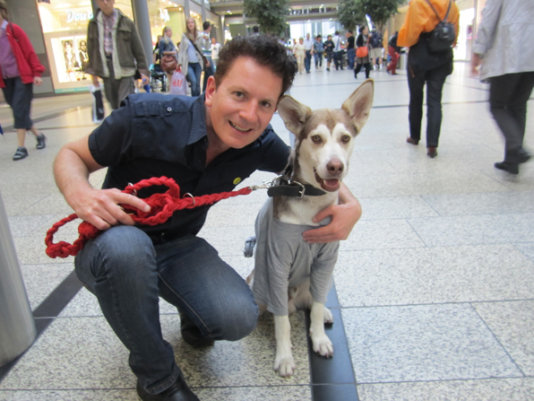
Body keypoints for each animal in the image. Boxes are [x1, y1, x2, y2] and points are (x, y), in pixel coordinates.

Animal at [249, 79, 374, 376]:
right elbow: (282, 321)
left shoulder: (326, 260)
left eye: (345, 138)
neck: (311, 200)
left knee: (314, 298)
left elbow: (316, 307)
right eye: (316, 139)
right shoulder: (277, 262)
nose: (335, 166)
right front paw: (284, 357)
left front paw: (319, 339)